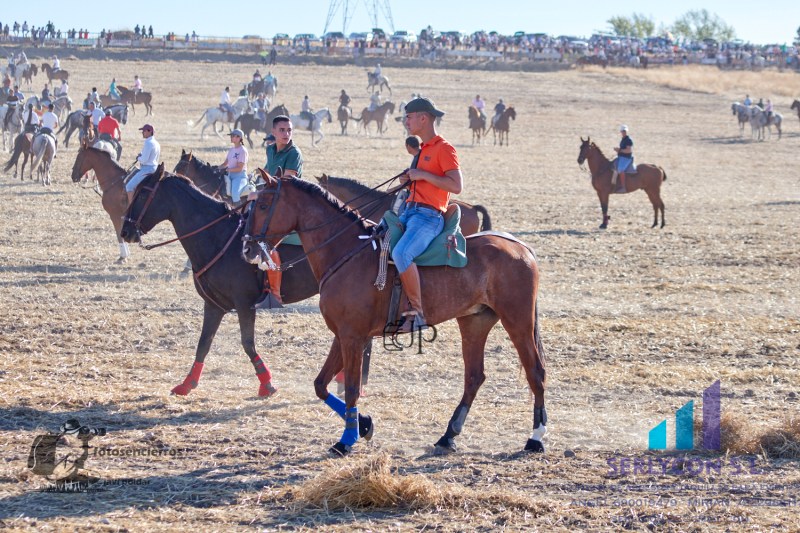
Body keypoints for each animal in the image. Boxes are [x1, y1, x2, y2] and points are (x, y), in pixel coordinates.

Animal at [116, 167, 365, 403]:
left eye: (142, 193)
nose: (125, 231)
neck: (218, 237)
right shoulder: (213, 306)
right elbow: (203, 344)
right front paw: (187, 384)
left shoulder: (245, 304)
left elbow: (247, 343)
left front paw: (266, 384)